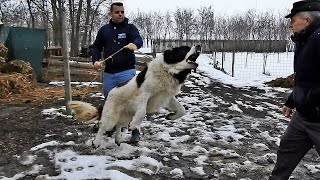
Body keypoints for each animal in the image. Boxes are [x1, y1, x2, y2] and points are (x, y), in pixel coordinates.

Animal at [67, 44, 201, 146]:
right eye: (184, 50)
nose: (199, 45)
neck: (168, 71)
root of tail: (108, 96)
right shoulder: (145, 94)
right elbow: (142, 112)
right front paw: (134, 125)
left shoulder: (166, 96)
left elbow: (182, 110)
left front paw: (171, 116)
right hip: (111, 116)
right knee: (103, 126)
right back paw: (96, 142)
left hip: (126, 116)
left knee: (119, 125)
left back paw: (118, 139)